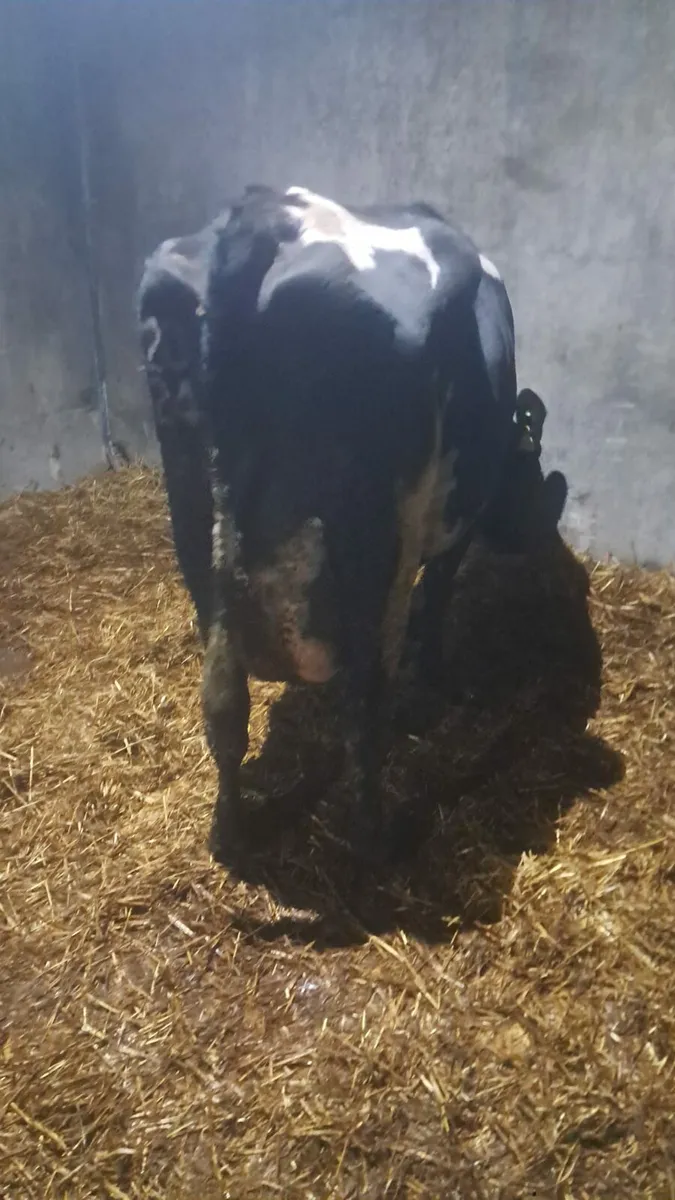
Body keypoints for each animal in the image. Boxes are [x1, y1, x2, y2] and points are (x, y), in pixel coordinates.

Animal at [138, 185, 566, 865]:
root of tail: (266, 219)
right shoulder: (454, 524)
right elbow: (437, 598)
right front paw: (432, 685)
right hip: (379, 547)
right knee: (364, 702)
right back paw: (375, 841)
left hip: (193, 523)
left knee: (223, 702)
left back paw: (229, 834)